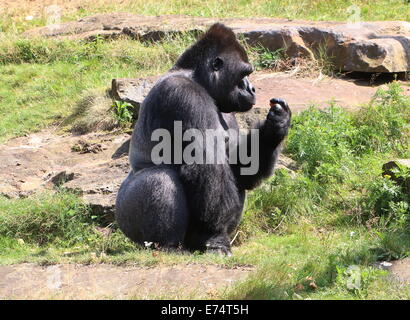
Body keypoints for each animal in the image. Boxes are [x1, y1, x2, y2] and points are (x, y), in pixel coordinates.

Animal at [115, 23, 292, 255]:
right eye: (244, 74)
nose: (252, 89)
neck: (198, 79)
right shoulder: (184, 95)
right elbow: (206, 162)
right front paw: (214, 236)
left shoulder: (229, 111)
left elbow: (241, 168)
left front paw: (276, 127)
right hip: (126, 217)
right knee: (160, 178)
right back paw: (167, 245)